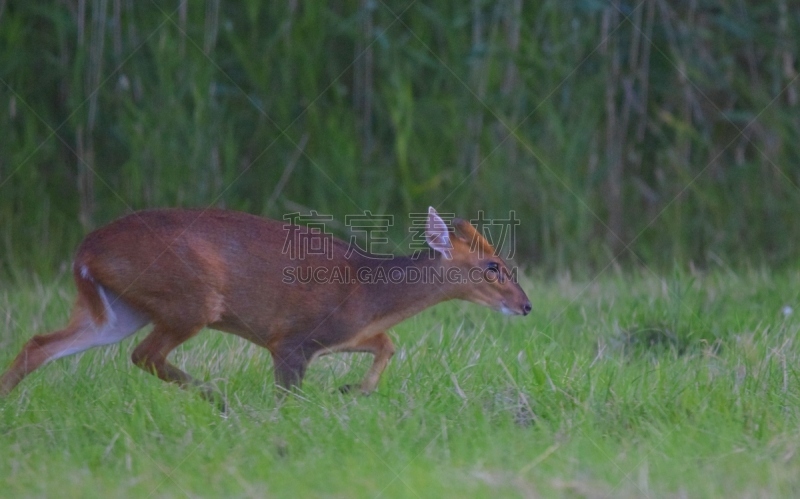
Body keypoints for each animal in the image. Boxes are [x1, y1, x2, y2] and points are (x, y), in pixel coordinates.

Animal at [1, 207, 532, 406]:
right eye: (493, 266)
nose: (526, 305)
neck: (370, 291)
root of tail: (85, 252)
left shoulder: (340, 336)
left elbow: (388, 343)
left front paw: (351, 390)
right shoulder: (291, 340)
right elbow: (287, 397)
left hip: (116, 310)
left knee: (38, 344)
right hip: (191, 298)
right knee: (145, 355)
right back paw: (217, 398)